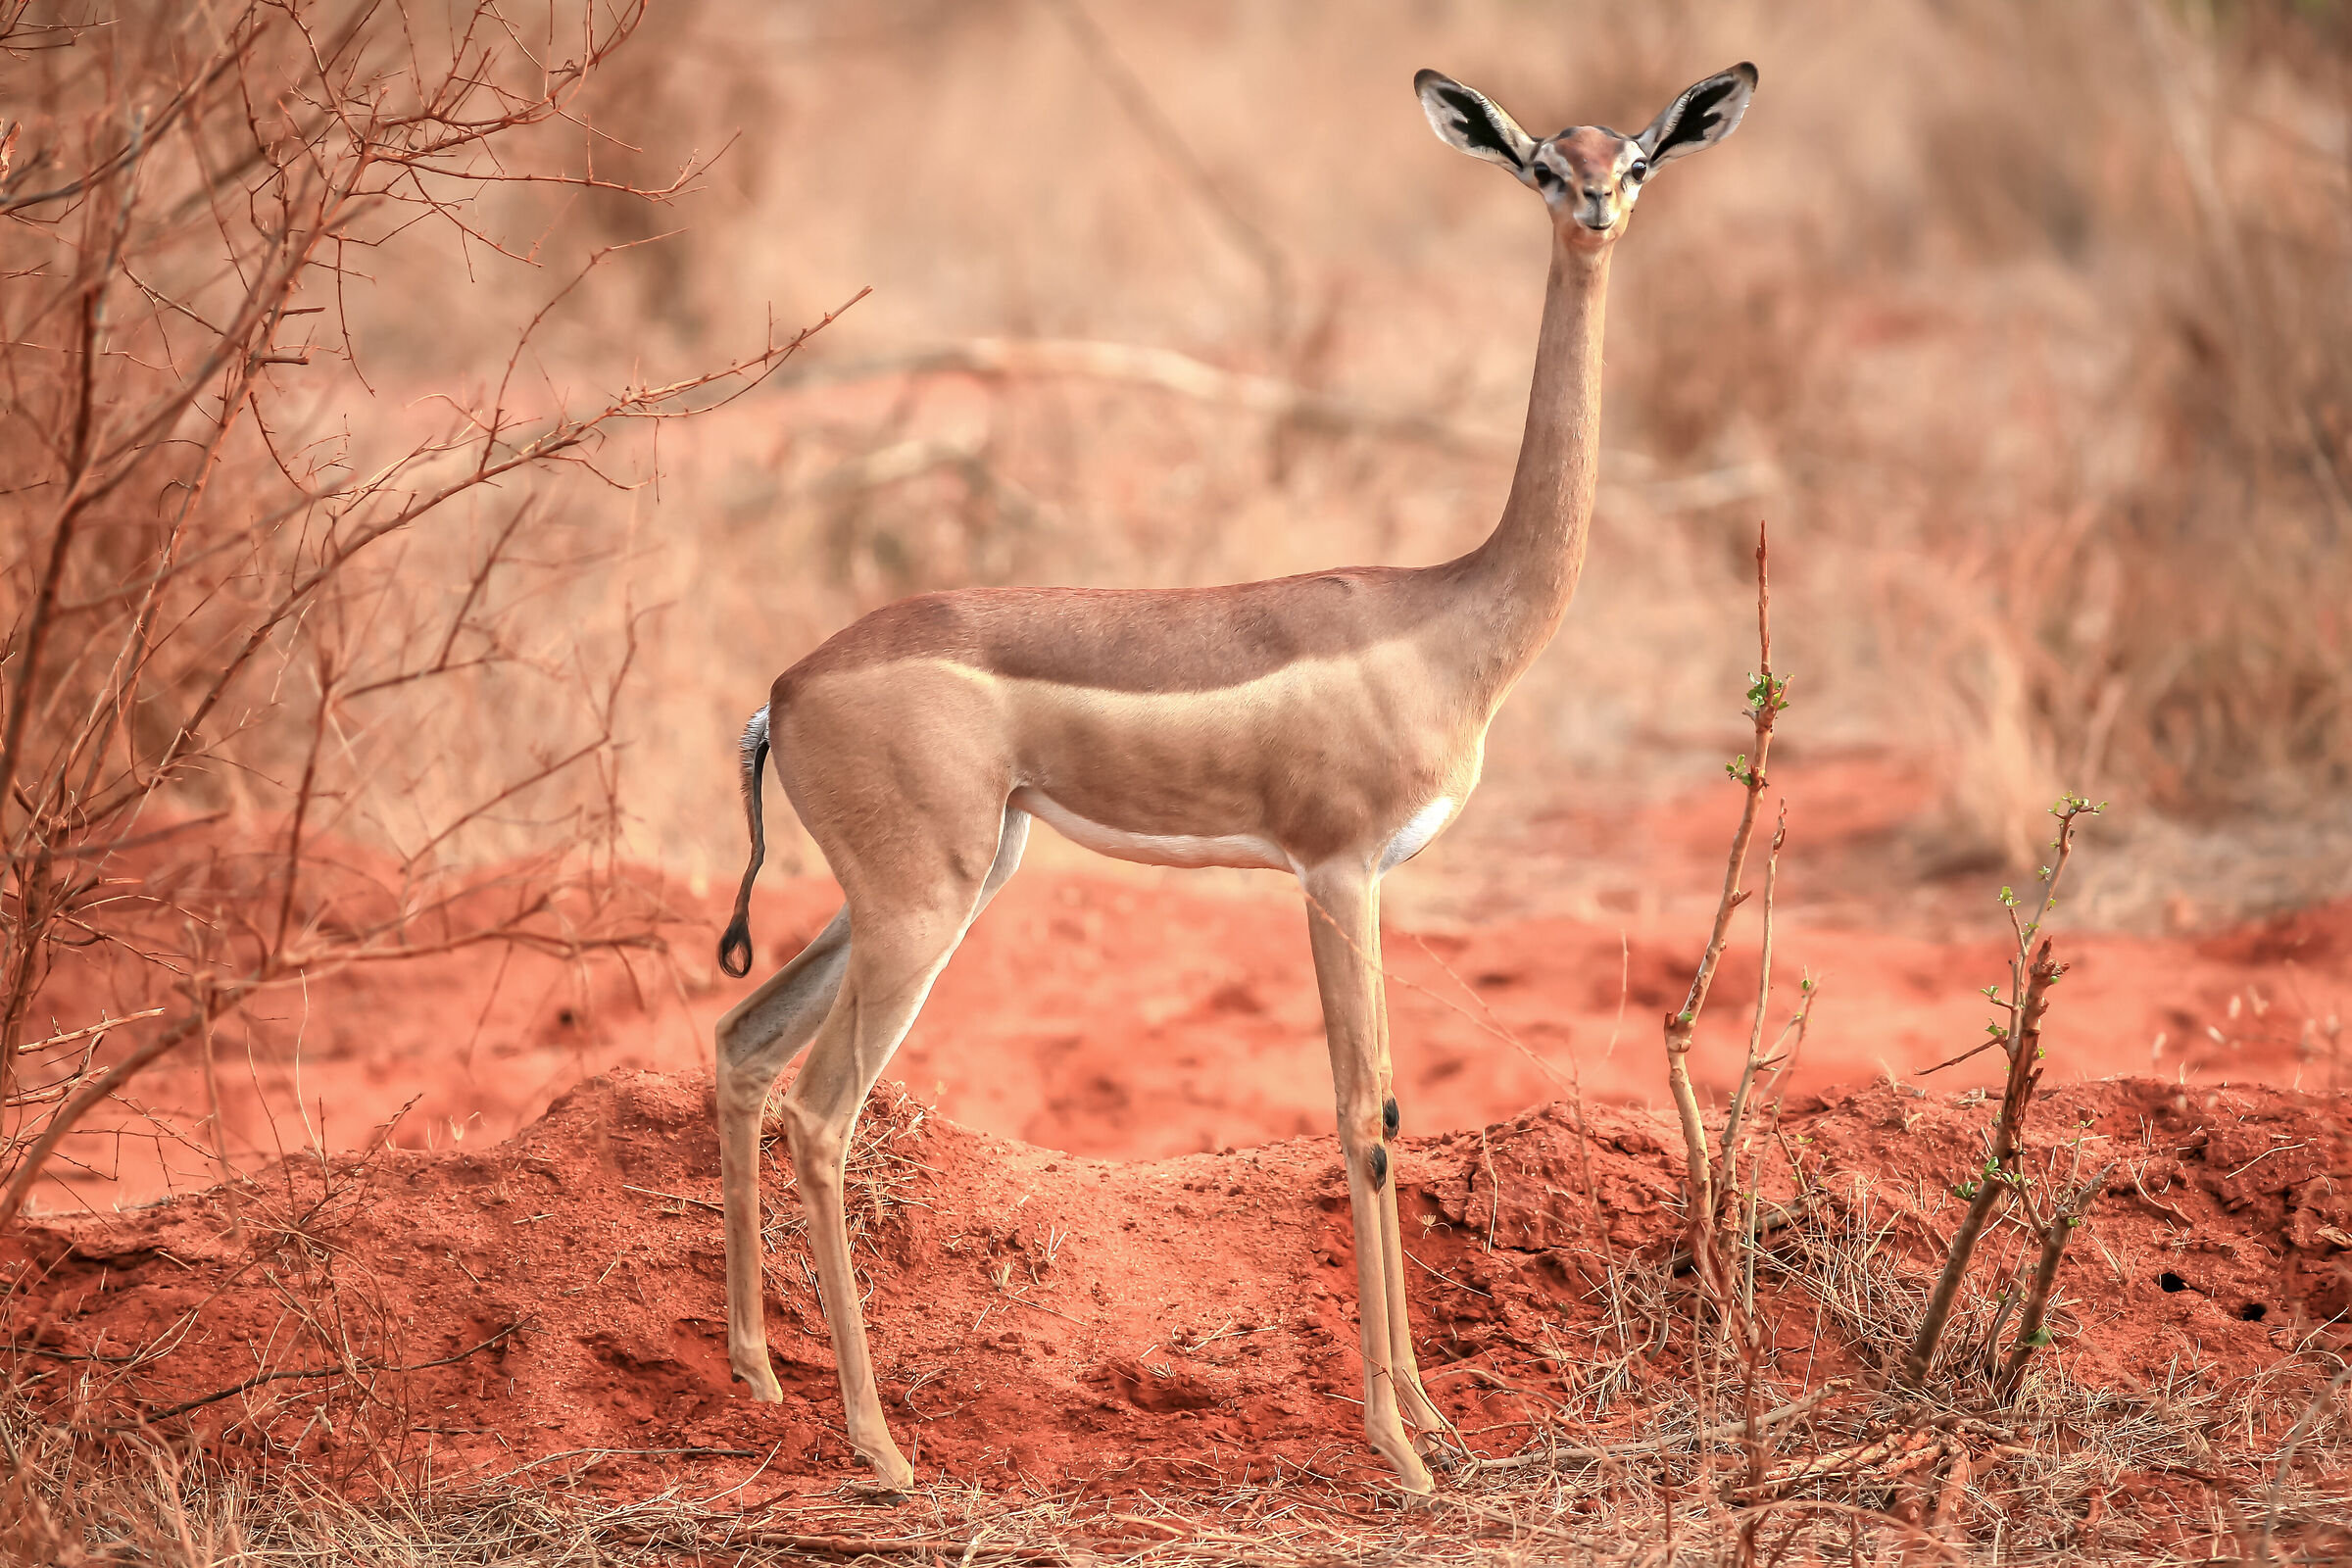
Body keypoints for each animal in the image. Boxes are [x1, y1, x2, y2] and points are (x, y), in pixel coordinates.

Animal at [712, 62, 1757, 1493]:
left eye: (1638, 155)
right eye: (1544, 163)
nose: (1597, 206)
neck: (1452, 616)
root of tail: (785, 689)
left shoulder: (1366, 880)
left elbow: (1388, 1109)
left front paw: (1433, 1425)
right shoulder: (1335, 871)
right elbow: (1367, 1115)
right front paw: (1405, 1447)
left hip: (937, 885)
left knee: (743, 1045)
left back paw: (759, 1380)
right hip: (920, 910)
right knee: (822, 1114)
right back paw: (879, 1446)